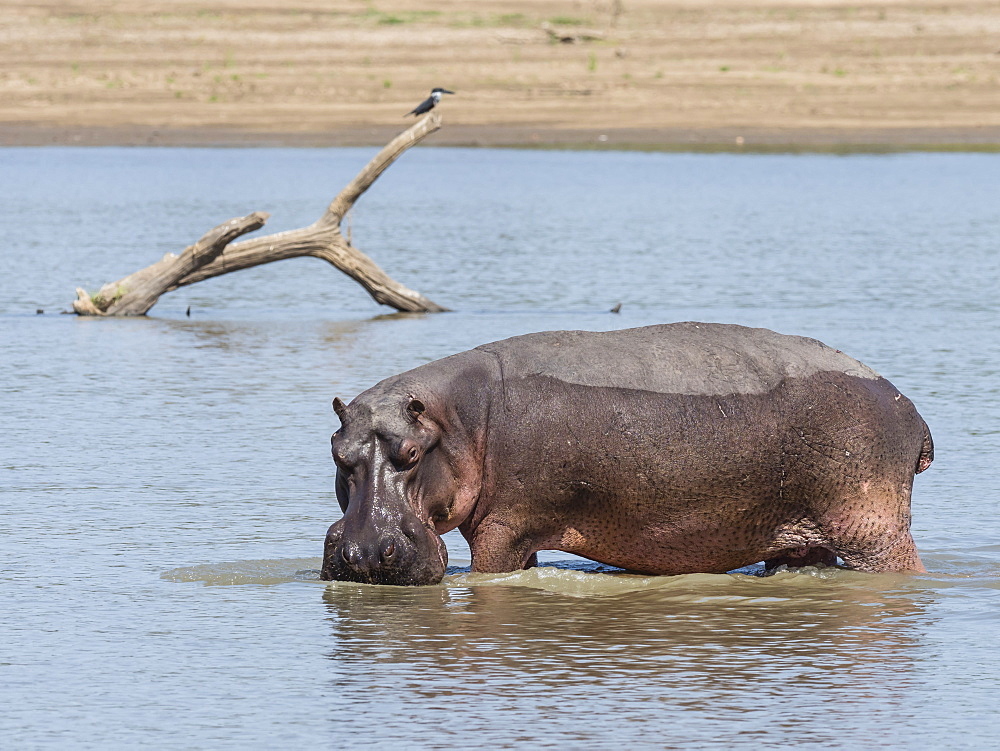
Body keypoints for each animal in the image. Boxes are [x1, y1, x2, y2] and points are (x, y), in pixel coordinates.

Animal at [324, 324, 932, 588]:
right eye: (337, 452)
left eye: (410, 452)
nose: (362, 553)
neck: (459, 420)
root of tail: (911, 411)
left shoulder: (503, 527)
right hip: (801, 534)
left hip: (872, 528)